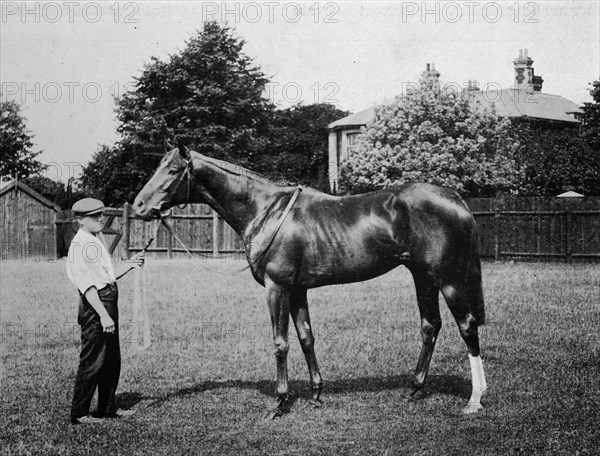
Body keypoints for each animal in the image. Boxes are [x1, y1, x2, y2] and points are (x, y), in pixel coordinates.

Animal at [132, 139, 488, 416]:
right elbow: (306, 337)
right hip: (423, 277)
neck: (267, 210)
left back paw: (474, 400)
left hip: (449, 279)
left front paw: (279, 402)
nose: (138, 205)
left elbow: (281, 342)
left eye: (173, 171)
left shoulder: (277, 289)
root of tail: (455, 199)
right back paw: (415, 388)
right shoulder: (297, 291)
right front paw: (317, 393)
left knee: (467, 326)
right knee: (431, 326)